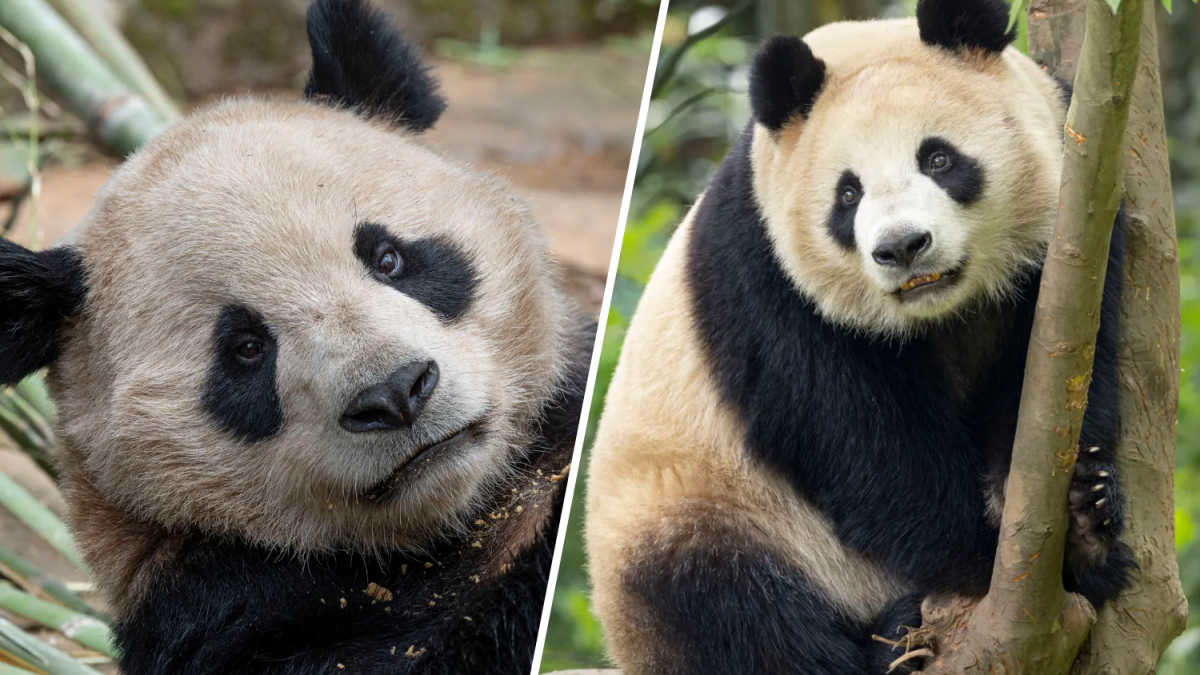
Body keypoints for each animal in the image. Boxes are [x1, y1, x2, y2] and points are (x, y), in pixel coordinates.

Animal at [588, 1, 1132, 672]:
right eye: (848, 194)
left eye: (938, 159)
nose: (902, 247)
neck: (941, 312)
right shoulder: (765, 271)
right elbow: (861, 439)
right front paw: (984, 559)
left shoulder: (1079, 214)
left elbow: (1063, 372)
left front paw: (1080, 525)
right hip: (701, 509)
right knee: (724, 611)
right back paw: (890, 641)